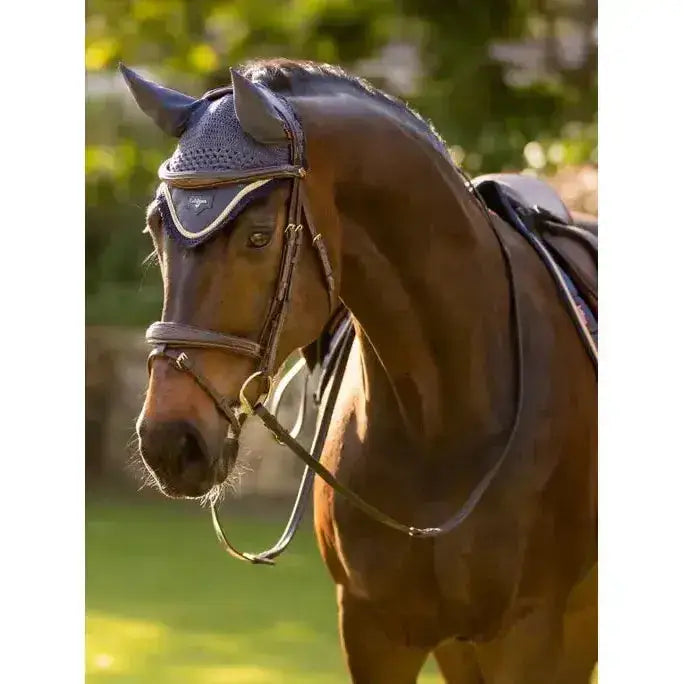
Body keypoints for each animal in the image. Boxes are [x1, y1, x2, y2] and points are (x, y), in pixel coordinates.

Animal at [124, 59, 597, 683]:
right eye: (156, 230)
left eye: (259, 236)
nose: (169, 442)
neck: (442, 419)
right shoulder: (375, 630)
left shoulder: (529, 635)